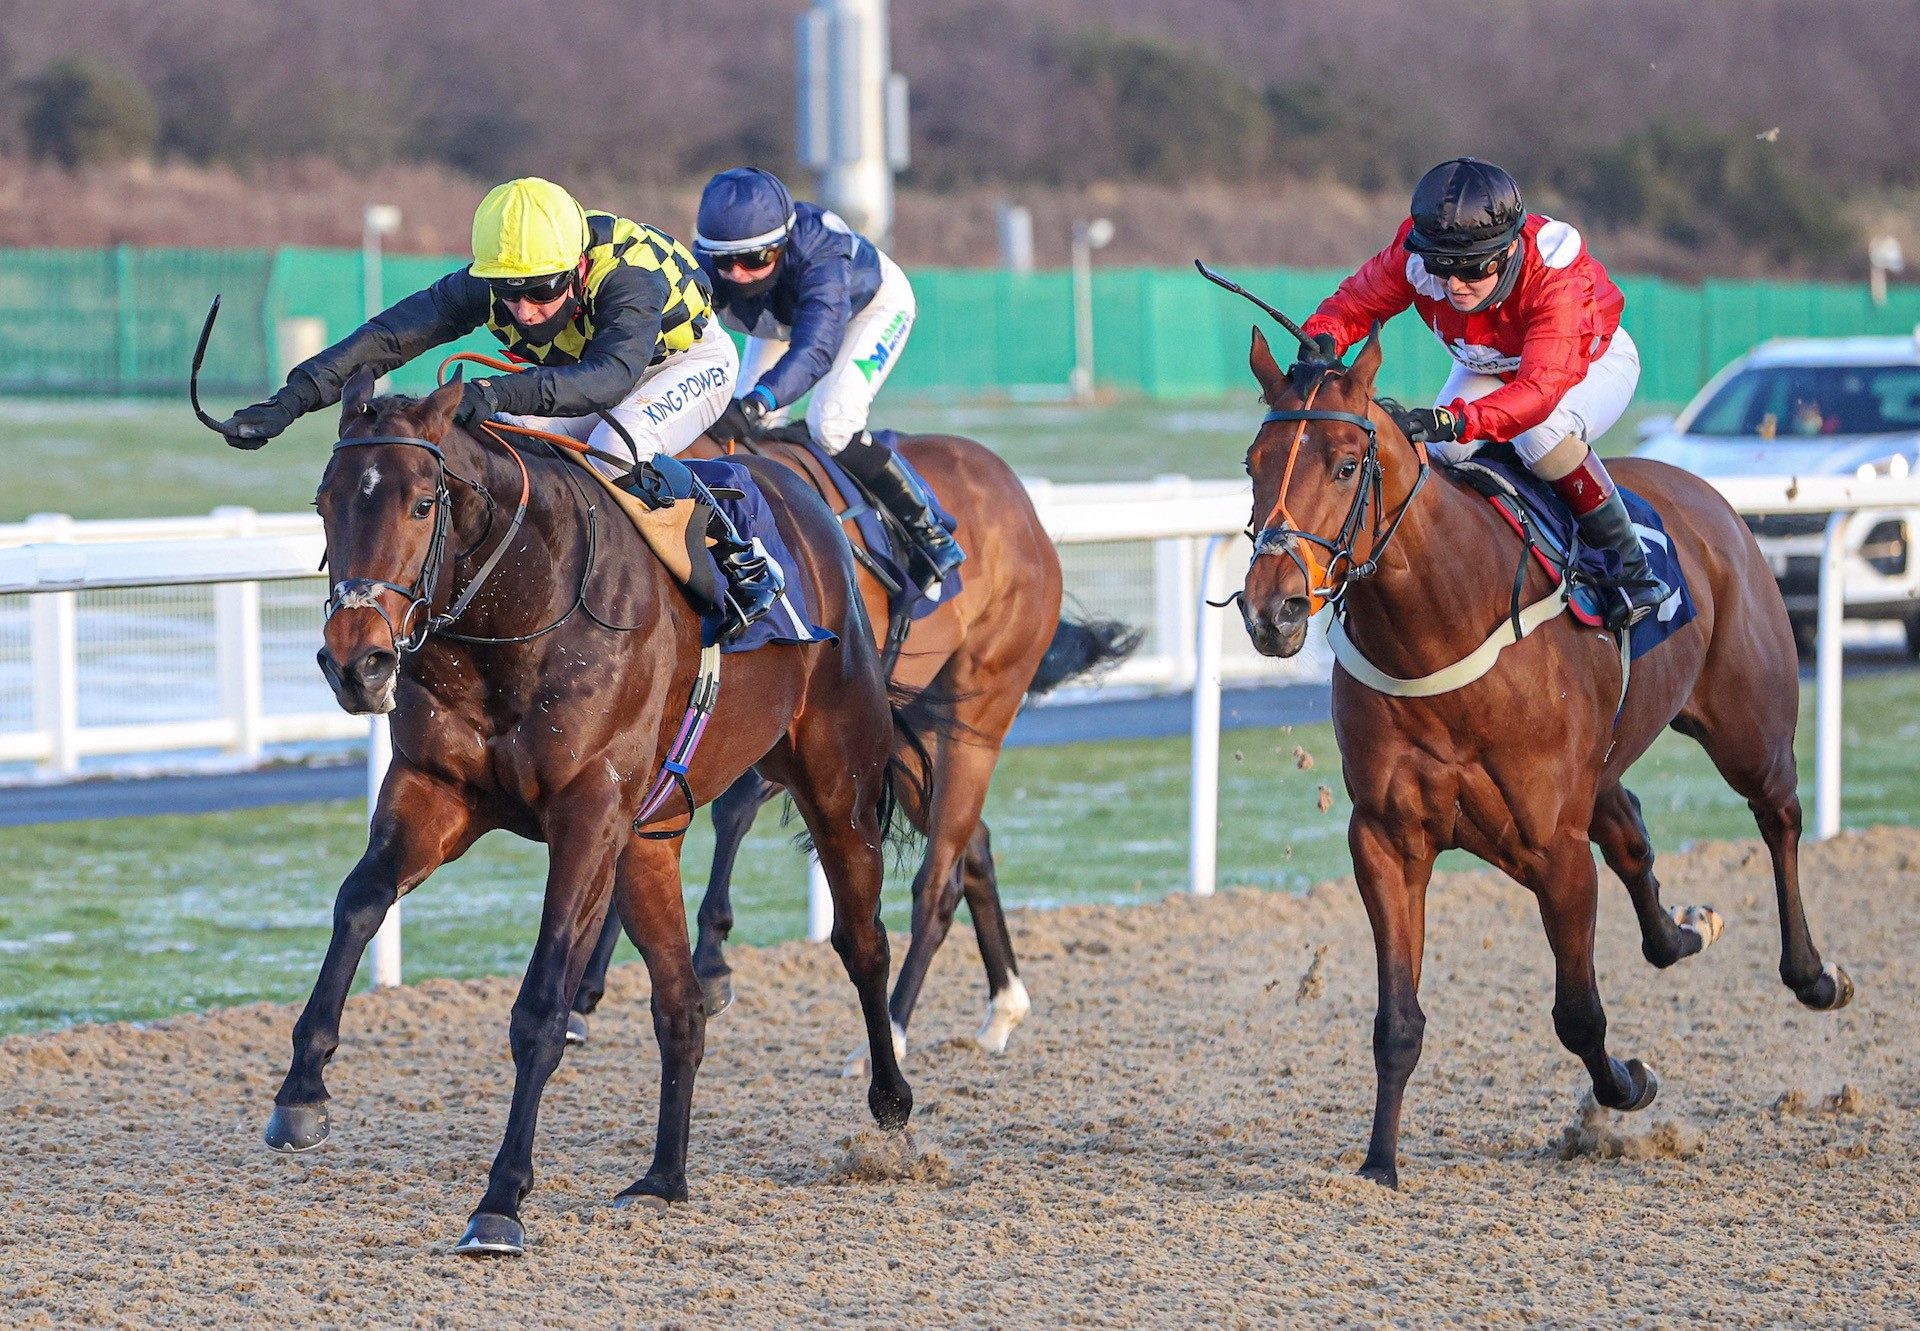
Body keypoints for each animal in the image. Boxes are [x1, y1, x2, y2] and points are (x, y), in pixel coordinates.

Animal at [270, 368, 929, 1252]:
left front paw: (501, 1200)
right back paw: (662, 1178)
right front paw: (301, 1089)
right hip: (650, 836)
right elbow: (358, 901)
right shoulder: (434, 788)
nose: (357, 662)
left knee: (862, 941)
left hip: (835, 780)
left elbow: (542, 1005)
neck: (518, 611)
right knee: (681, 1003)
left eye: (420, 502)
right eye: (325, 501)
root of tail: (809, 495)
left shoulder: (586, 815)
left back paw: (889, 1104)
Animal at [568, 428, 1136, 1067]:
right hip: (916, 732)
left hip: (978, 708)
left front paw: (709, 961)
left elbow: (729, 813)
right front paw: (587, 990)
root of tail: (1019, 500)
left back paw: (894, 1029)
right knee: (973, 844)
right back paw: (1002, 1008)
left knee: (938, 880)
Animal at [1236, 318, 1850, 1183]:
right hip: (1607, 763)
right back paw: (1687, 927)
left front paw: (1628, 1084)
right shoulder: (1387, 839)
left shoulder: (1554, 848)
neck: (1440, 626)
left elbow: (1579, 1013)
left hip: (1749, 728)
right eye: (1252, 464)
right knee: (1632, 836)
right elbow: (1397, 1020)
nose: (1273, 609)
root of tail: (1703, 496)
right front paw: (1380, 1161)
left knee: (1780, 817)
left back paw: (1814, 975)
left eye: (1347, 464)